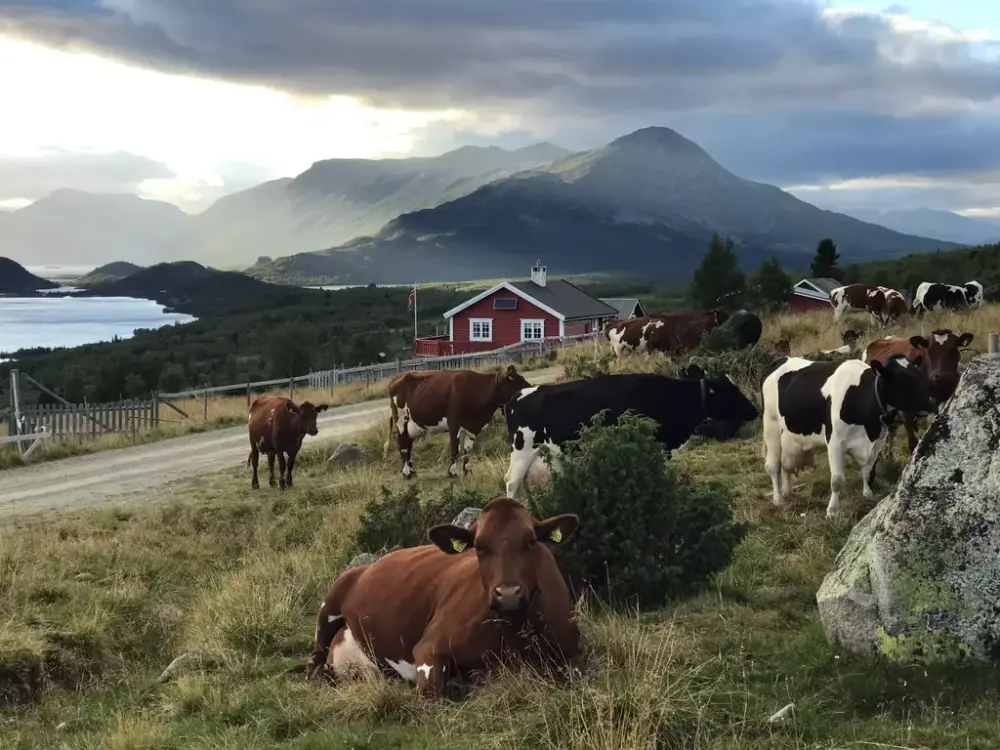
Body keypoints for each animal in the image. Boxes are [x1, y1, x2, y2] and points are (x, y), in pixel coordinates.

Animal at [302, 500, 580, 700]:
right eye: (479, 546)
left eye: (531, 541)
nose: (508, 593)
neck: (513, 632)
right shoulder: (429, 646)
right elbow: (432, 691)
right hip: (331, 602)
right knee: (313, 664)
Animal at [382, 366, 532, 482]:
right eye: (520, 383)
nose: (534, 390)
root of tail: (398, 376)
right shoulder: (454, 424)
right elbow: (455, 449)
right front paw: (452, 472)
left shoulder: (473, 427)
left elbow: (468, 450)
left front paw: (468, 472)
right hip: (401, 420)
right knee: (402, 445)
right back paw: (406, 473)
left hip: (412, 425)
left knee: (408, 445)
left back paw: (412, 471)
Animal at [760, 356, 932, 520]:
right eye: (901, 379)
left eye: (919, 375)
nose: (930, 403)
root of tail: (783, 360)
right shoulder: (835, 442)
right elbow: (837, 480)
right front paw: (831, 512)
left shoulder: (878, 441)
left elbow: (868, 472)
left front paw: (867, 495)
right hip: (771, 424)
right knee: (774, 466)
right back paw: (778, 499)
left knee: (785, 465)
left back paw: (787, 493)